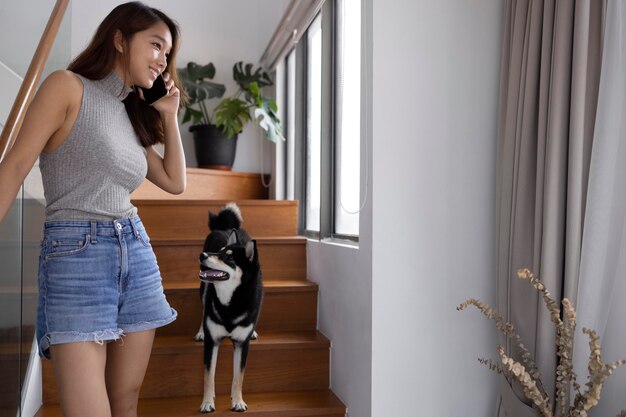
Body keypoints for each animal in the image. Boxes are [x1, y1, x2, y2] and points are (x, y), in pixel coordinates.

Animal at [196, 203, 262, 412]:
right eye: (219, 252)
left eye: (229, 258)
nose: (203, 255)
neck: (230, 302)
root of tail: (225, 227)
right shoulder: (212, 342)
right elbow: (208, 377)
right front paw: (207, 402)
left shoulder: (242, 343)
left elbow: (238, 377)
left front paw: (238, 401)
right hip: (204, 287)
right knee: (204, 308)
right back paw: (200, 331)